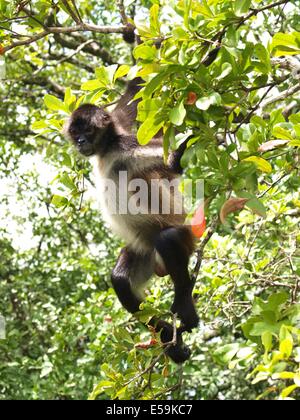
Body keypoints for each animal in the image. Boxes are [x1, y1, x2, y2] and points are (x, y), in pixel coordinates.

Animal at [63, 30, 216, 364]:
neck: (107, 149)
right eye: (75, 133)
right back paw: (170, 340)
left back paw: (185, 310)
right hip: (142, 252)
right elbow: (136, 89)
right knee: (120, 280)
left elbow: (173, 164)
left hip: (183, 235)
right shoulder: (123, 122)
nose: (80, 143)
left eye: (87, 133)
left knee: (167, 239)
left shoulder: (127, 146)